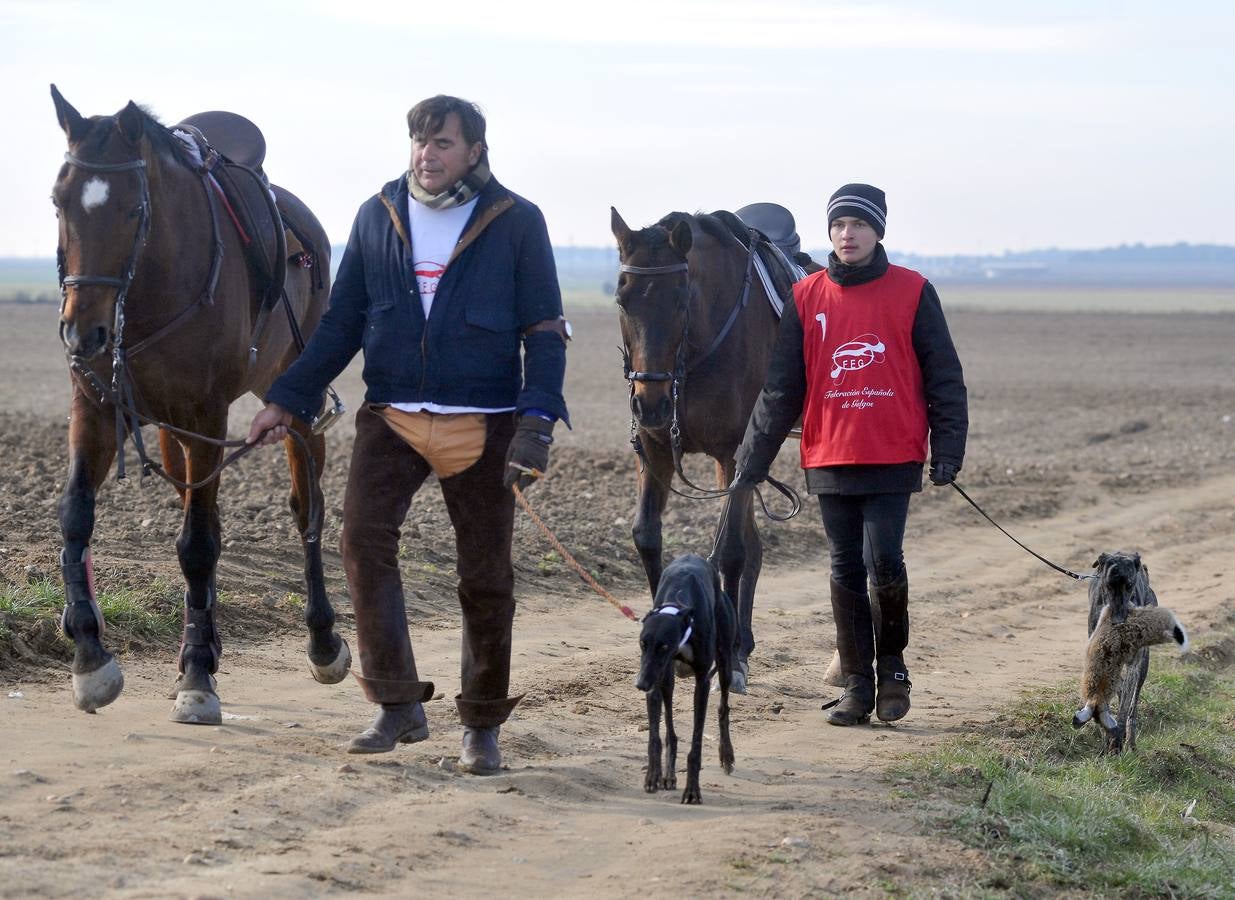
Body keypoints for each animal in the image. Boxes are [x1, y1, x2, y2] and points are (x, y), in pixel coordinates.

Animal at [50, 85, 350, 720]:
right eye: (59, 202)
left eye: (133, 210)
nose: (82, 333)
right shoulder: (97, 408)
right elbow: (76, 516)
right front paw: (90, 656)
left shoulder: (207, 415)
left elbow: (197, 544)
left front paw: (194, 676)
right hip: (172, 431)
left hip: (292, 403)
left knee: (305, 508)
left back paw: (321, 639)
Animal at [607, 207, 810, 691]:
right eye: (623, 299)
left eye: (681, 299)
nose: (650, 402)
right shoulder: (655, 448)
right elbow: (647, 536)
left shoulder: (736, 452)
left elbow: (730, 550)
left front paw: (729, 660)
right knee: (755, 546)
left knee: (744, 548)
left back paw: (738, 651)